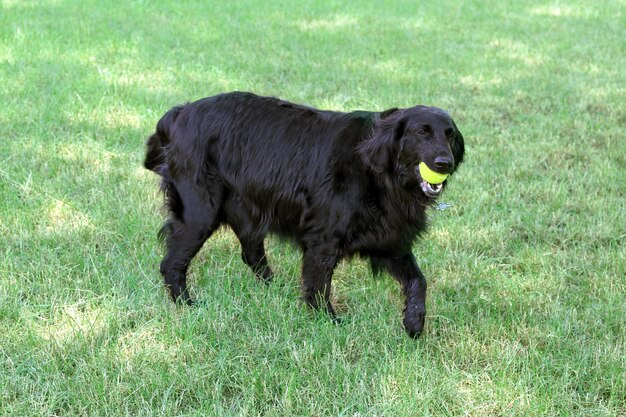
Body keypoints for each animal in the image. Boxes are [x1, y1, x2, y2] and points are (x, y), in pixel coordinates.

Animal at [144, 92, 460, 336]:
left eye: (450, 135)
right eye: (422, 132)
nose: (445, 163)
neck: (377, 169)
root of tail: (180, 112)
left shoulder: (390, 241)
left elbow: (419, 281)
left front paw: (414, 322)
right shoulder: (323, 239)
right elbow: (319, 286)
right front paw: (328, 322)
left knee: (251, 254)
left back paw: (274, 288)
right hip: (199, 213)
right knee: (171, 263)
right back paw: (187, 305)